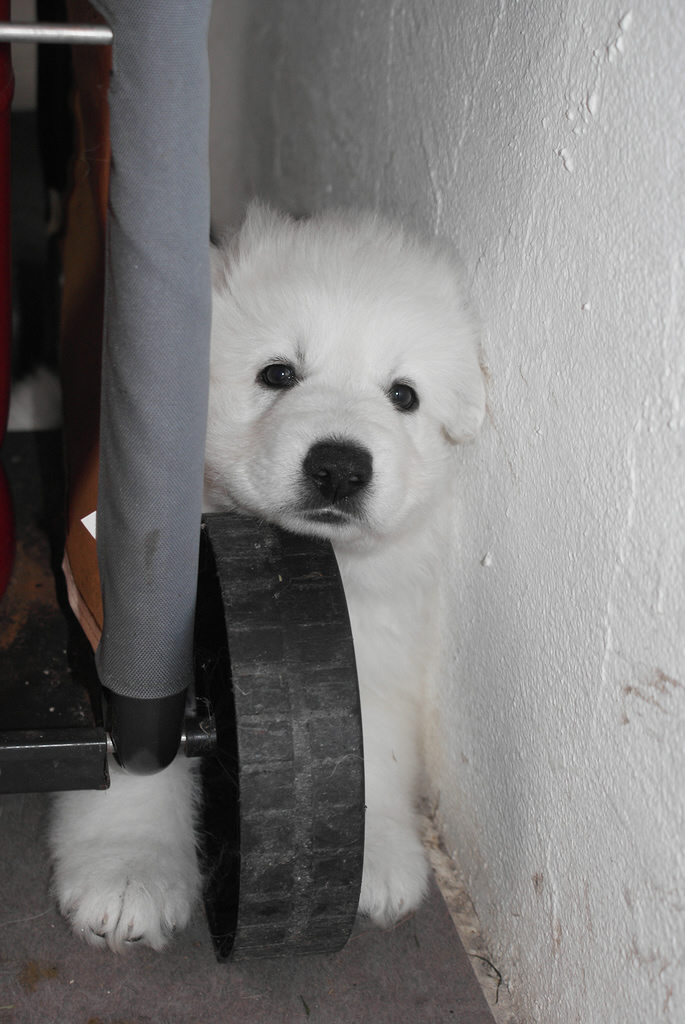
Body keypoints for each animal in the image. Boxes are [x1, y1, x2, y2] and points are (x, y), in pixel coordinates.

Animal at [50, 203, 485, 950]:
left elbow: (371, 741)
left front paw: (370, 853)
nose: (340, 468)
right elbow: (136, 755)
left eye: (403, 395)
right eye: (277, 374)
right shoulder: (116, 627)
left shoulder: (378, 638)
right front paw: (128, 869)